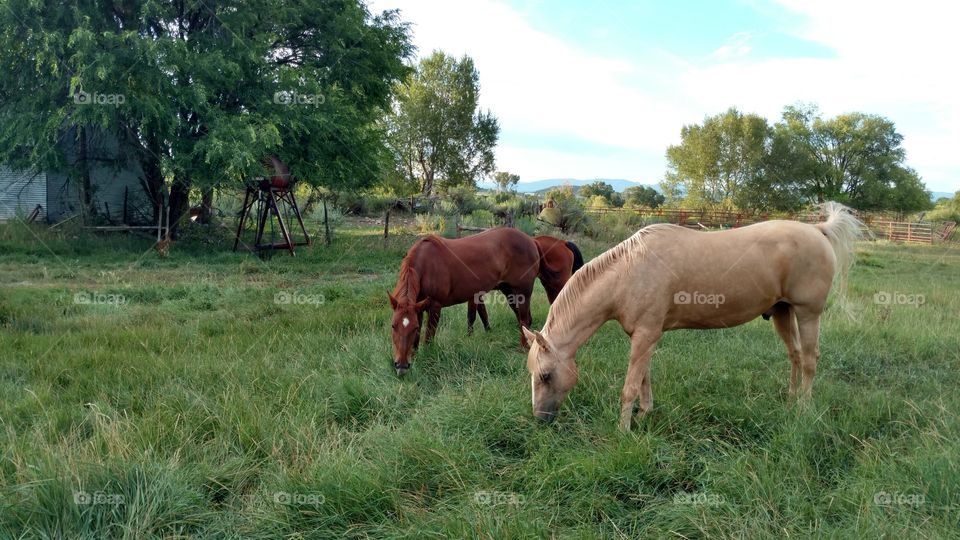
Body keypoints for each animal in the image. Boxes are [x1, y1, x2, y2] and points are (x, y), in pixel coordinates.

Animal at [522, 202, 862, 430]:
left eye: (545, 375)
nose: (540, 419)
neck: (628, 272)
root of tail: (818, 230)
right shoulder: (645, 337)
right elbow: (644, 378)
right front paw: (644, 415)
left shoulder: (645, 336)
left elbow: (630, 386)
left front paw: (623, 430)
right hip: (782, 313)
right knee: (794, 355)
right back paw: (791, 402)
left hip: (808, 314)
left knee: (809, 360)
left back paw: (803, 410)